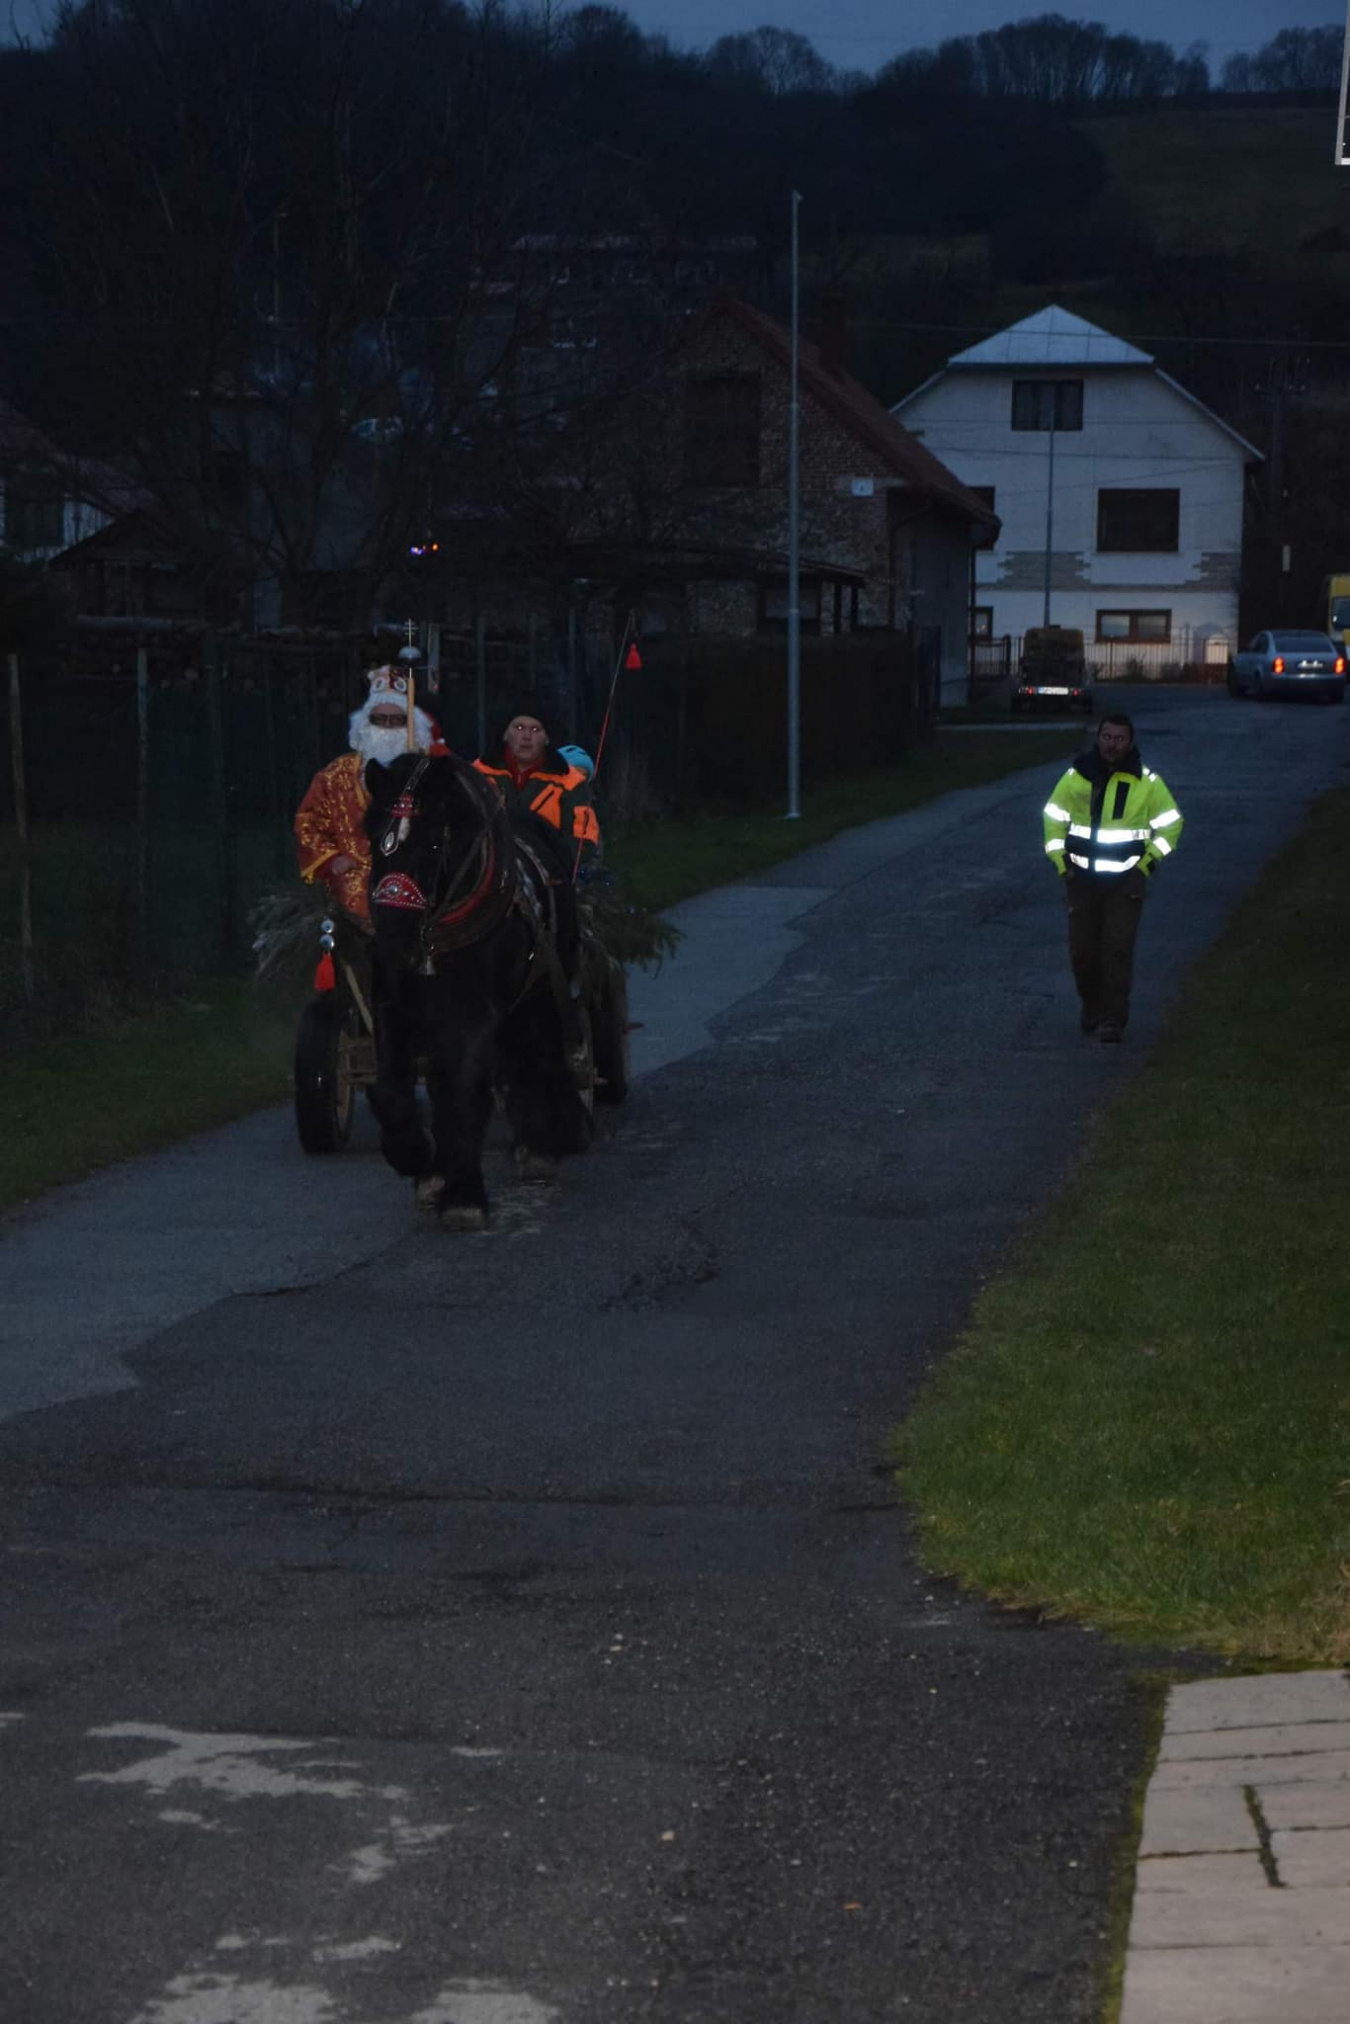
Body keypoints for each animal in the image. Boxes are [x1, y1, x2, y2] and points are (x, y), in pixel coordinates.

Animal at [362, 751, 592, 1229]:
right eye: (376, 843)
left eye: (434, 844)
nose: (394, 946)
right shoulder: (394, 1006)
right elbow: (394, 1090)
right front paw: (418, 1158)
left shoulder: (473, 1018)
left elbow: (465, 1094)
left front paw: (463, 1195)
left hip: (542, 991)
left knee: (537, 1055)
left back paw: (542, 1142)